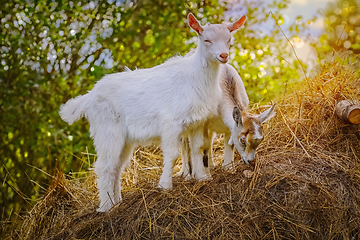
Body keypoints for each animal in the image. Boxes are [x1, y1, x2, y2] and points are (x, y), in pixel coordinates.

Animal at [59, 13, 248, 212]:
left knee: (117, 166)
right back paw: (105, 207)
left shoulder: (197, 122)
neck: (194, 76)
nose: (223, 56)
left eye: (229, 40)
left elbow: (199, 148)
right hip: (107, 130)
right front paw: (165, 185)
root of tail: (89, 96)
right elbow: (172, 154)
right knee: (105, 166)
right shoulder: (171, 123)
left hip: (124, 140)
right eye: (207, 40)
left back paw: (116, 201)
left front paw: (203, 178)